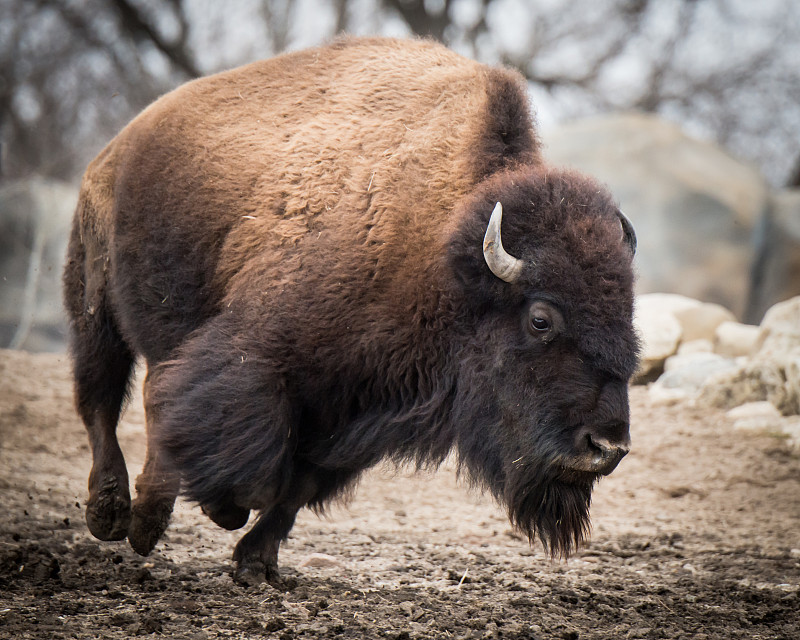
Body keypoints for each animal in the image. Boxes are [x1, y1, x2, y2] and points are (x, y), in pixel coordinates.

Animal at [61, 35, 636, 584]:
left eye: (628, 315)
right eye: (540, 319)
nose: (606, 446)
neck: (440, 252)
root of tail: (115, 149)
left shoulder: (352, 412)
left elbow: (296, 487)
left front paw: (256, 565)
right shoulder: (260, 355)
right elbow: (247, 463)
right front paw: (222, 513)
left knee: (150, 390)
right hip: (93, 306)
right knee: (106, 400)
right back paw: (115, 516)